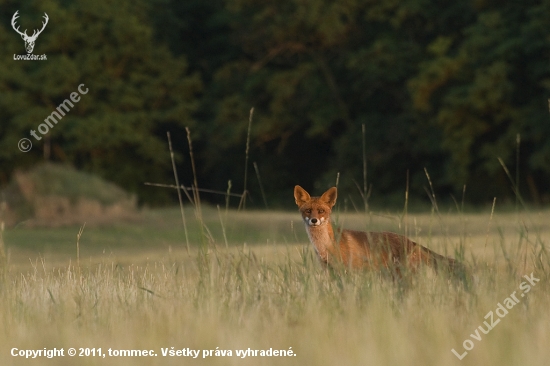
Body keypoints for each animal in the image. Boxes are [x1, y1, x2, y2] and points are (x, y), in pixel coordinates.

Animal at [296, 184, 464, 276]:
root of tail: (410, 241)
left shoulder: (346, 270)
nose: (314, 220)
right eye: (308, 211)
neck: (325, 246)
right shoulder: (328, 270)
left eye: (321, 211)